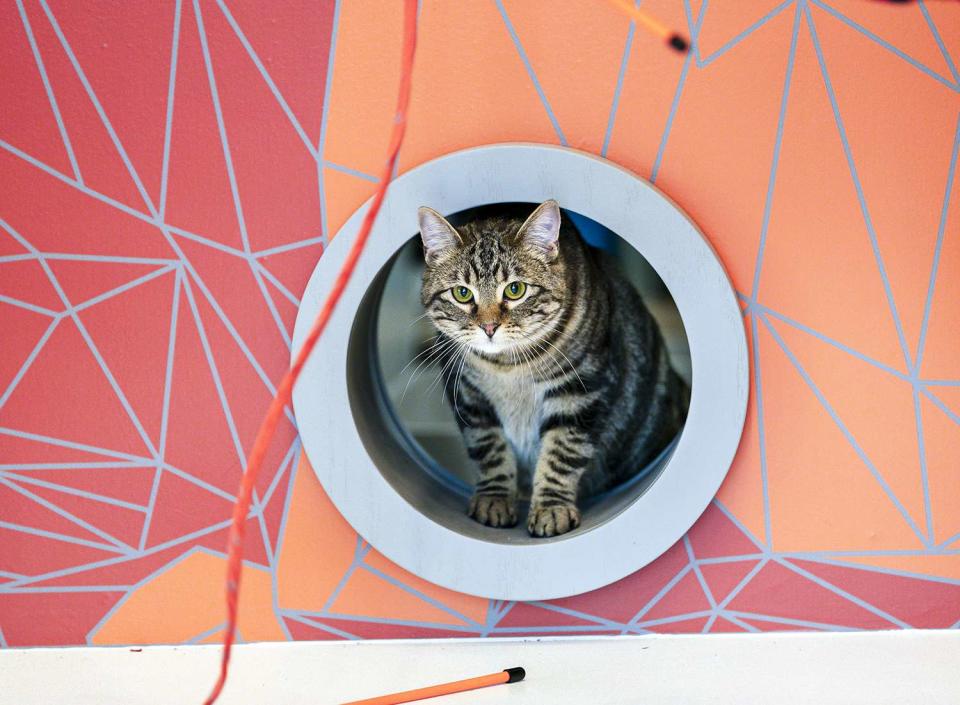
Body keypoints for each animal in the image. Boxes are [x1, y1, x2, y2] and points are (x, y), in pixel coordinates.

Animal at [420, 201, 688, 536]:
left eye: (515, 289)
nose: (489, 327)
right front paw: (494, 499)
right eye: (462, 293)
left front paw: (551, 507)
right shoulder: (469, 395)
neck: (506, 367)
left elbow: (562, 453)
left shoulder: (580, 391)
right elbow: (489, 450)